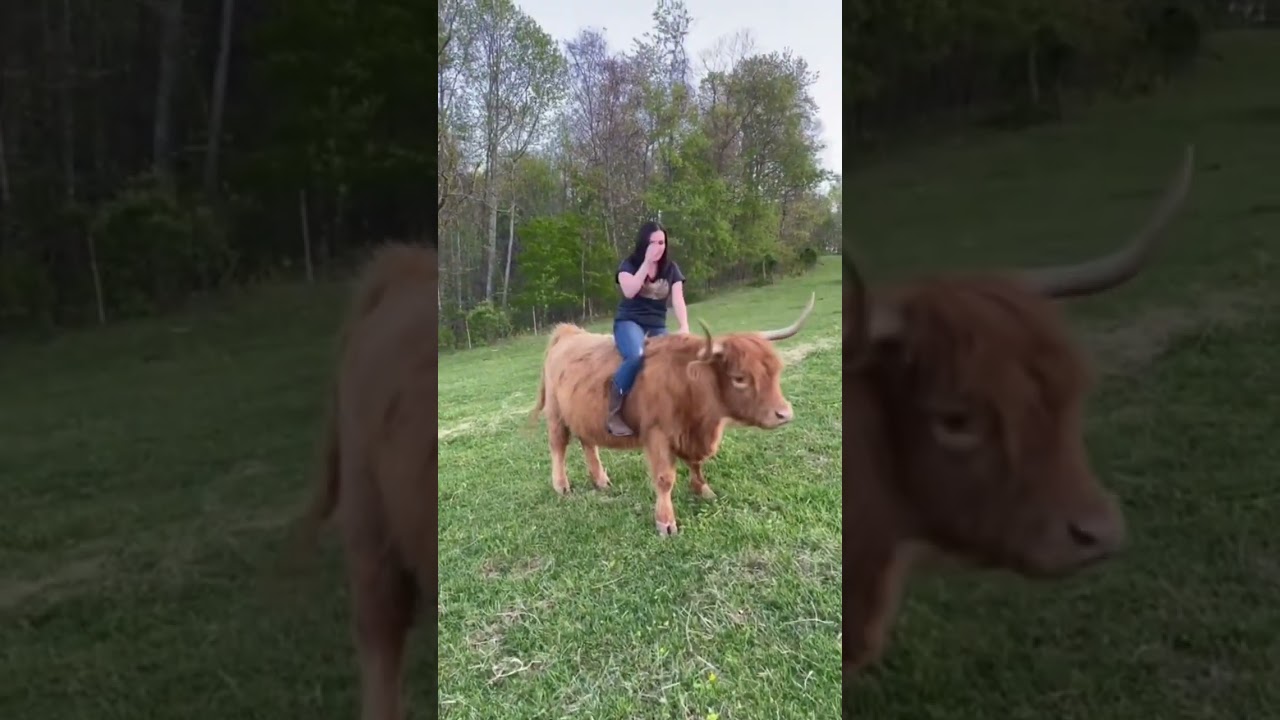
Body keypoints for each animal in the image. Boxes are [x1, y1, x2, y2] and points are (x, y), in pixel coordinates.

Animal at [530, 292, 816, 536]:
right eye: (739, 378)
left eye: (776, 371)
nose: (784, 413)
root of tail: (568, 332)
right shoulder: (657, 435)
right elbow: (665, 478)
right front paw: (665, 522)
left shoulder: (693, 434)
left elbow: (696, 463)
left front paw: (703, 490)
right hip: (556, 415)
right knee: (558, 446)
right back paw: (561, 485)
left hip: (584, 415)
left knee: (588, 443)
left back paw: (600, 480)